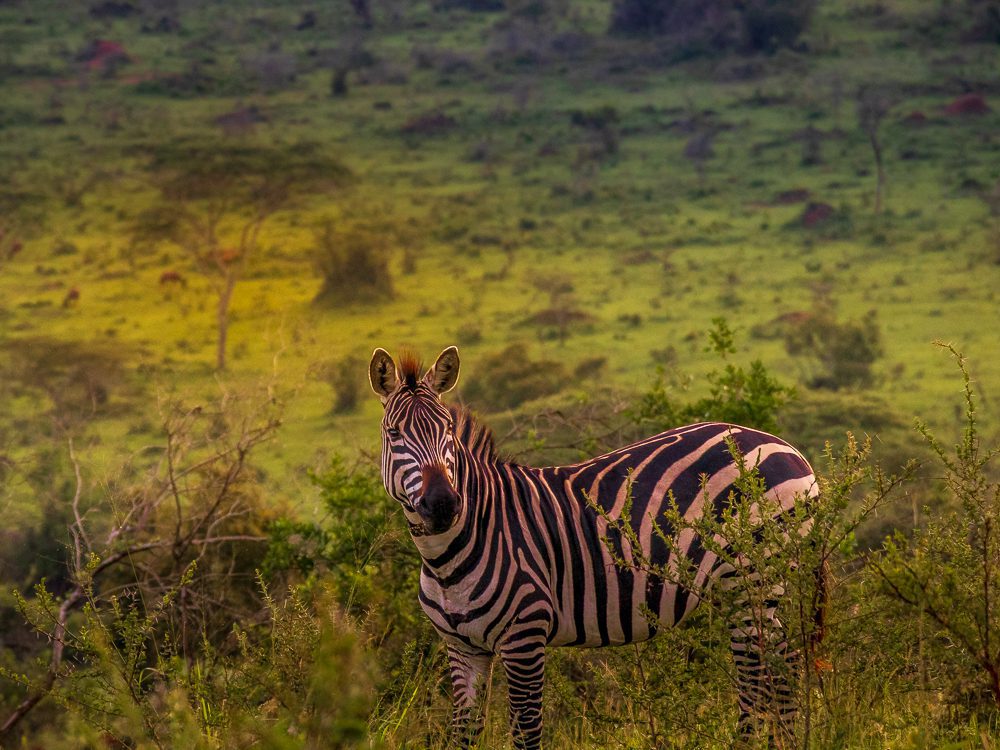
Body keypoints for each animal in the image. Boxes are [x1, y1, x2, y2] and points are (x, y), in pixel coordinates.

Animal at [368, 346, 821, 749]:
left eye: (446, 430)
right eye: (394, 435)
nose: (444, 504)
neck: (449, 557)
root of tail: (790, 450)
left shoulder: (525, 636)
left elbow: (526, 732)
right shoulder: (462, 648)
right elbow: (464, 733)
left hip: (752, 580)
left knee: (759, 677)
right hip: (760, 587)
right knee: (780, 671)